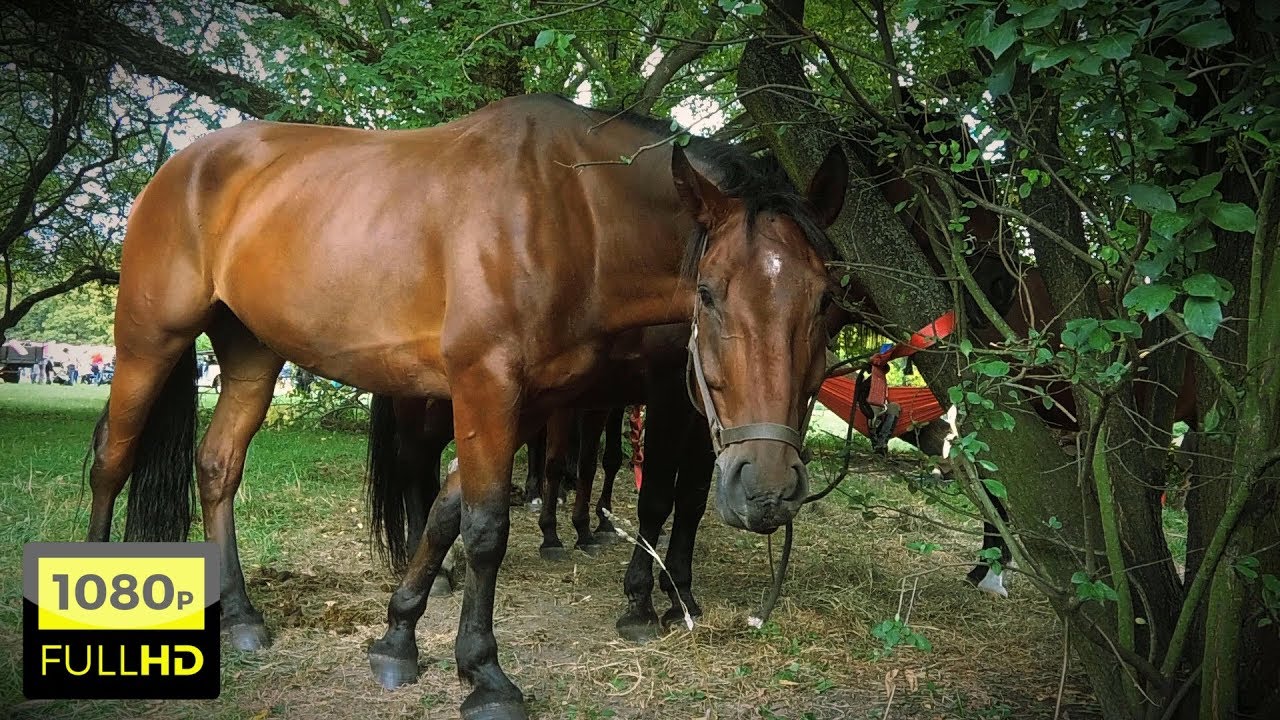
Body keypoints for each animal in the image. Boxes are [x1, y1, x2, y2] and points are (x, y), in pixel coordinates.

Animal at [87, 93, 848, 720]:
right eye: (709, 294)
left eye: (827, 301)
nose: (768, 488)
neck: (571, 209)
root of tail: (186, 162)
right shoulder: (490, 386)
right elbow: (486, 528)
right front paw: (484, 675)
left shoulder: (526, 402)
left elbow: (446, 511)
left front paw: (397, 638)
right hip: (149, 339)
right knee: (112, 462)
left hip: (252, 354)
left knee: (218, 467)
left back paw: (243, 616)